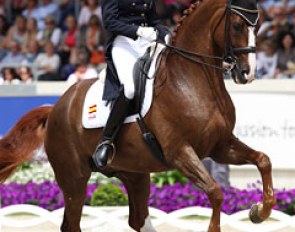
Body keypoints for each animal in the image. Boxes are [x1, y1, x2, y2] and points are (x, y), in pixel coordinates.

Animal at [0, 0, 278, 232]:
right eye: (237, 25)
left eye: (258, 25)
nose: (248, 73)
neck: (190, 80)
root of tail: (56, 107)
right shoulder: (180, 152)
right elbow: (215, 191)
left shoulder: (219, 146)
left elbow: (263, 160)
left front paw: (258, 212)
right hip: (74, 178)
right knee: (72, 223)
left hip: (135, 173)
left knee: (137, 219)